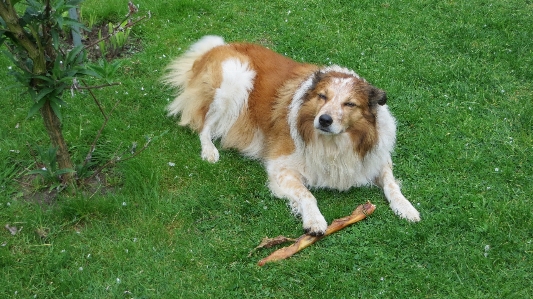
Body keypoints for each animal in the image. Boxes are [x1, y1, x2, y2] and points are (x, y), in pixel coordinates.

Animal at [162, 35, 420, 237]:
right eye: (322, 97)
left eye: (350, 104)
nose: (324, 120)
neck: (334, 144)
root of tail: (216, 48)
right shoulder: (281, 168)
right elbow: (307, 194)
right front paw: (315, 220)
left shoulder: (376, 158)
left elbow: (391, 184)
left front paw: (406, 207)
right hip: (235, 77)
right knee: (203, 124)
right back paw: (209, 151)